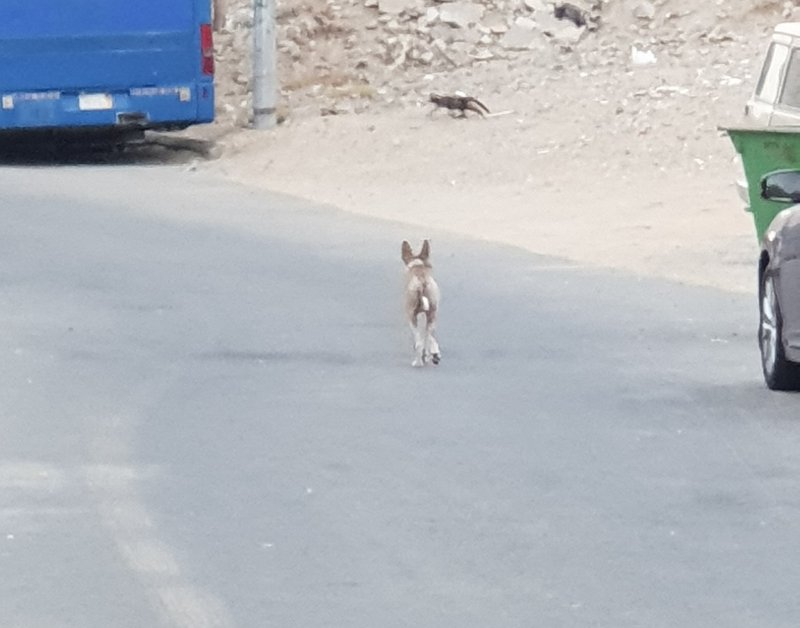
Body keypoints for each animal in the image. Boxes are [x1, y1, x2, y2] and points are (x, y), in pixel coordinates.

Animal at [404, 240, 440, 368]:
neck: (418, 267)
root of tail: (422, 282)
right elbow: (429, 339)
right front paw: (434, 354)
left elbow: (419, 342)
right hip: (432, 315)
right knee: (429, 336)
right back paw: (432, 356)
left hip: (412, 318)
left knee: (419, 342)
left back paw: (418, 362)